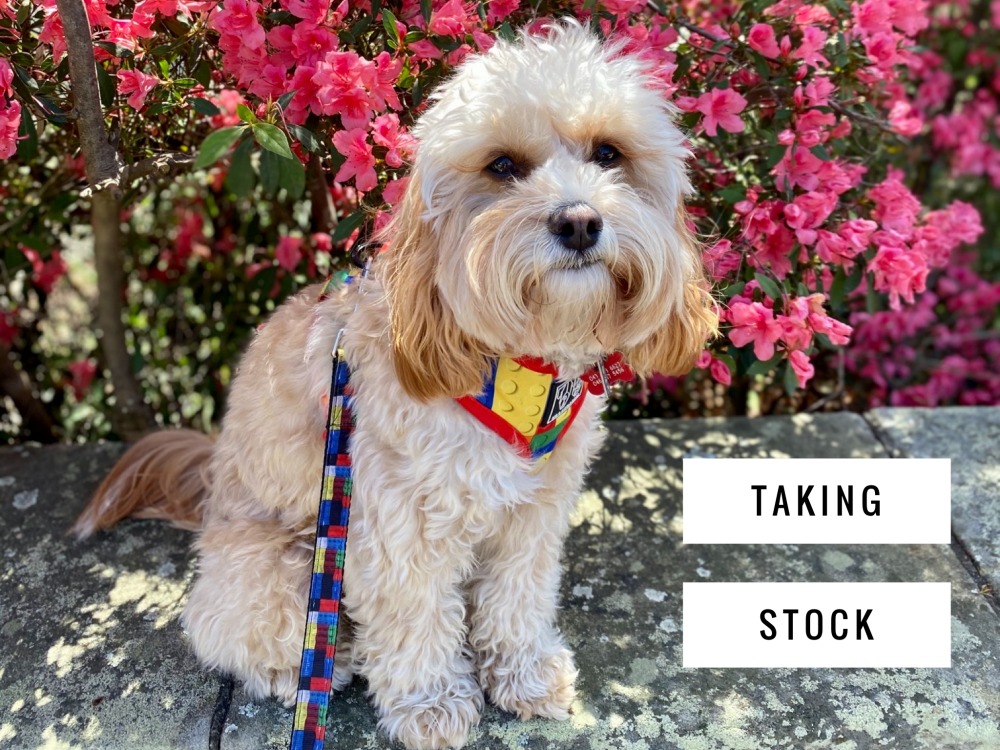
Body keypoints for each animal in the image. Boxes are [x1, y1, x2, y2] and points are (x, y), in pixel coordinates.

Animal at [74, 22, 716, 750]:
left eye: (609, 153)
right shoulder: (393, 518)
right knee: (237, 634)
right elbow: (414, 614)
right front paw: (431, 703)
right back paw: (323, 662)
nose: (579, 221)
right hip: (278, 567)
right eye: (502, 166)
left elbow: (517, 595)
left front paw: (521, 671)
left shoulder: (534, 513)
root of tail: (211, 481)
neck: (514, 374)